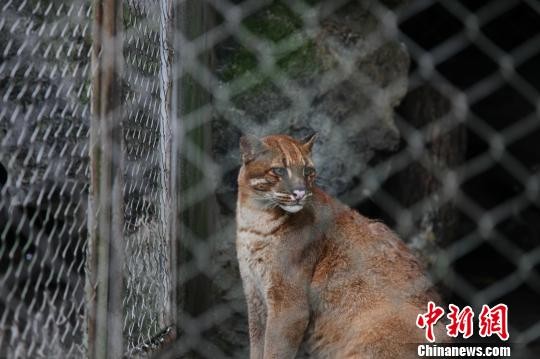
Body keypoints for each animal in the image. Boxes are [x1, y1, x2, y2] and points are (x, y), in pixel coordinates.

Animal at [235, 134, 442, 358]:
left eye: (307, 171)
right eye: (279, 170)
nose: (300, 193)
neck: (255, 217)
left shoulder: (288, 303)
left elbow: (274, 350)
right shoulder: (254, 294)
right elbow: (257, 345)